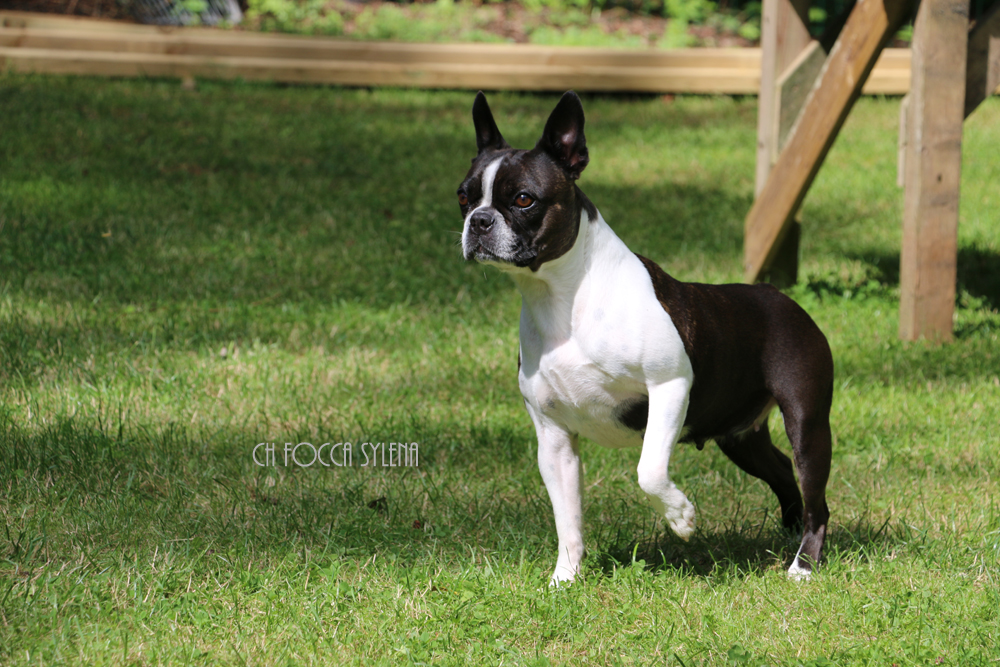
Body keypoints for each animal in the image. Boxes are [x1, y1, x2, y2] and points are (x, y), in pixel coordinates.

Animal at [457, 91, 834, 583]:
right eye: (463, 198)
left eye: (523, 199)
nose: (479, 221)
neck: (562, 299)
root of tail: (782, 299)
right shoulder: (553, 438)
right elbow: (567, 518)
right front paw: (565, 579)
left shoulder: (668, 386)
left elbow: (649, 470)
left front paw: (681, 517)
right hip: (740, 437)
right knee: (784, 473)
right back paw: (789, 532)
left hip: (807, 423)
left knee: (816, 497)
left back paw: (804, 564)